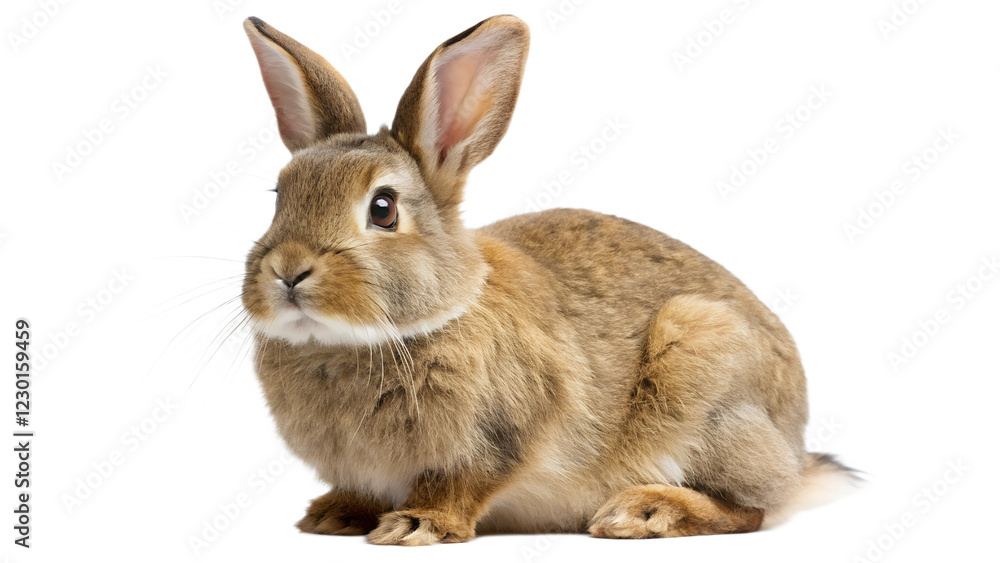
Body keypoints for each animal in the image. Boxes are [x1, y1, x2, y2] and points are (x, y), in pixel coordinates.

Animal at [239, 14, 854, 545]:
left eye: (383, 209)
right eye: (278, 195)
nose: (287, 270)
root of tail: (794, 445)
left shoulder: (499, 439)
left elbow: (459, 484)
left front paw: (414, 525)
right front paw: (334, 515)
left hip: (704, 371)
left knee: (753, 506)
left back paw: (645, 511)